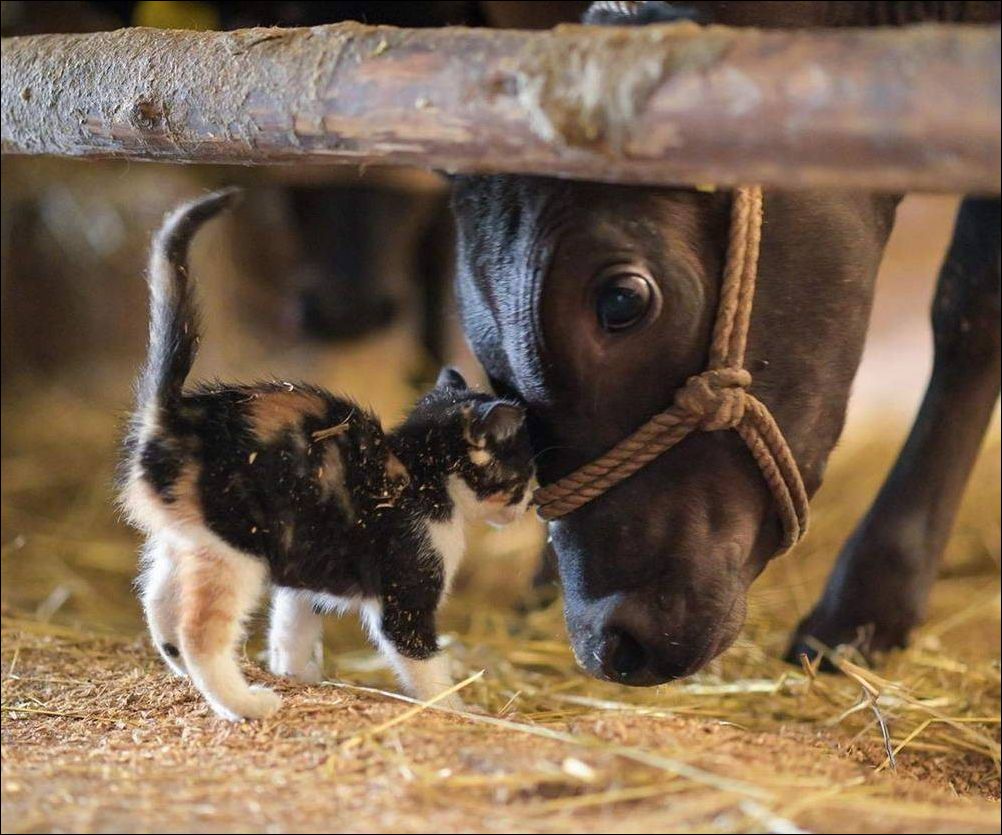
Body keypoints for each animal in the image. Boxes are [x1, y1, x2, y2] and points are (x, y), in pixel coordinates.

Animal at [119, 189, 535, 721]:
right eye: (524, 473)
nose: (528, 504)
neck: (421, 475)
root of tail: (173, 414)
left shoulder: (304, 576)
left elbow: (291, 627)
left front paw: (298, 675)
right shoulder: (406, 585)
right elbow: (423, 659)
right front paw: (457, 708)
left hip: (185, 538)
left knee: (156, 601)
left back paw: (181, 667)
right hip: (235, 546)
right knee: (200, 630)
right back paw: (244, 703)